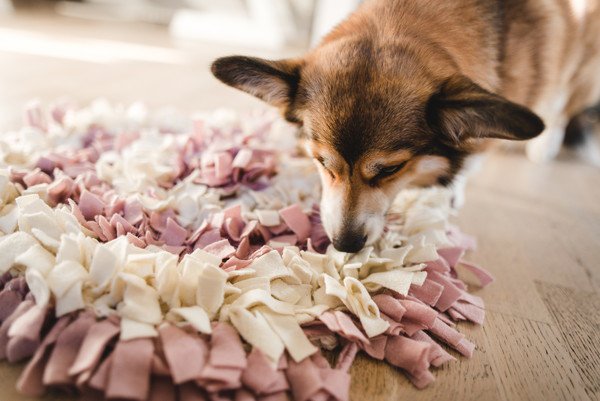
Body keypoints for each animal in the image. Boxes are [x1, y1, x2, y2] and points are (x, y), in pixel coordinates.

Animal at [211, 0, 600, 250]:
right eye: (322, 162)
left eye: (390, 169)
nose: (345, 245)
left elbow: (470, 158)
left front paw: (450, 191)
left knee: (564, 98)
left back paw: (546, 144)